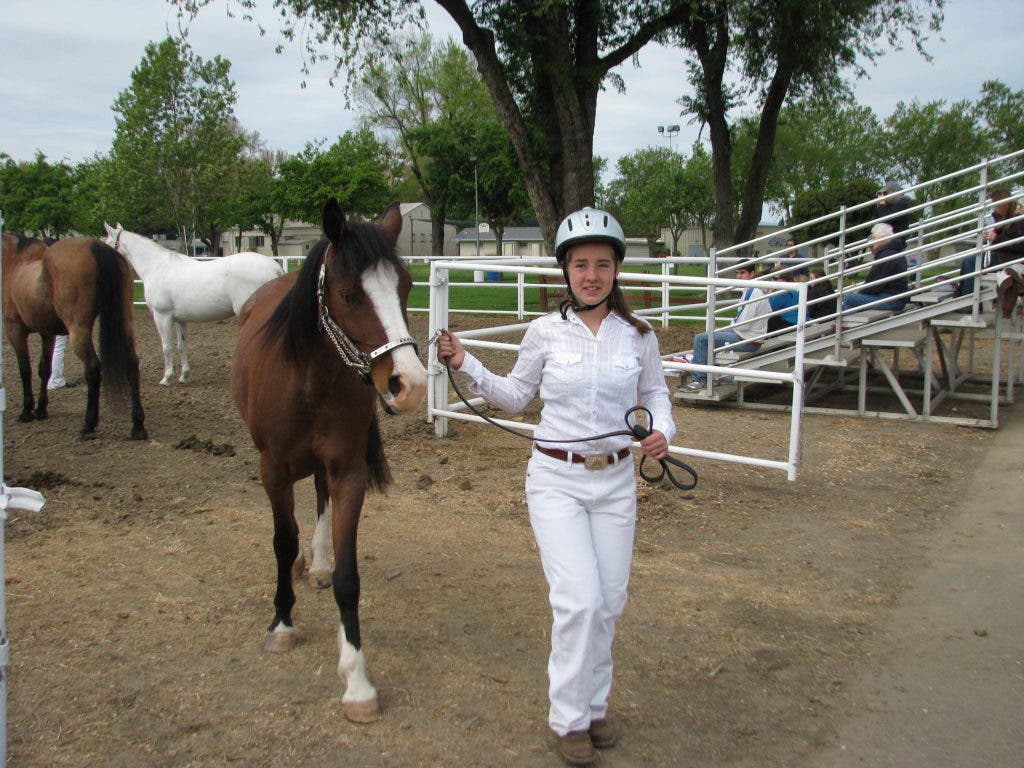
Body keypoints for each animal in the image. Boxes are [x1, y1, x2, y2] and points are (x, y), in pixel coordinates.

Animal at [1, 232, 148, 441]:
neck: (14, 262)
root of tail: (95, 246)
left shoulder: (14, 329)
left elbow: (25, 370)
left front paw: (26, 411)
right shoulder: (47, 333)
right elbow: (44, 369)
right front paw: (41, 410)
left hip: (78, 329)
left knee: (93, 369)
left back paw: (88, 425)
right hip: (125, 322)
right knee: (132, 365)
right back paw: (138, 426)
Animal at [103, 223, 285, 386]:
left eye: (106, 244)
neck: (157, 267)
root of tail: (274, 267)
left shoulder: (162, 317)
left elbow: (167, 347)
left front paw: (166, 378)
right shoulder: (180, 320)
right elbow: (181, 346)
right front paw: (184, 376)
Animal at [231, 198, 428, 723]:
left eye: (406, 287)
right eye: (348, 294)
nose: (411, 384)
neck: (307, 378)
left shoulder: (348, 472)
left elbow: (347, 577)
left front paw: (357, 681)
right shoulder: (273, 471)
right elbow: (282, 544)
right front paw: (281, 623)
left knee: (319, 498)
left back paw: (316, 562)